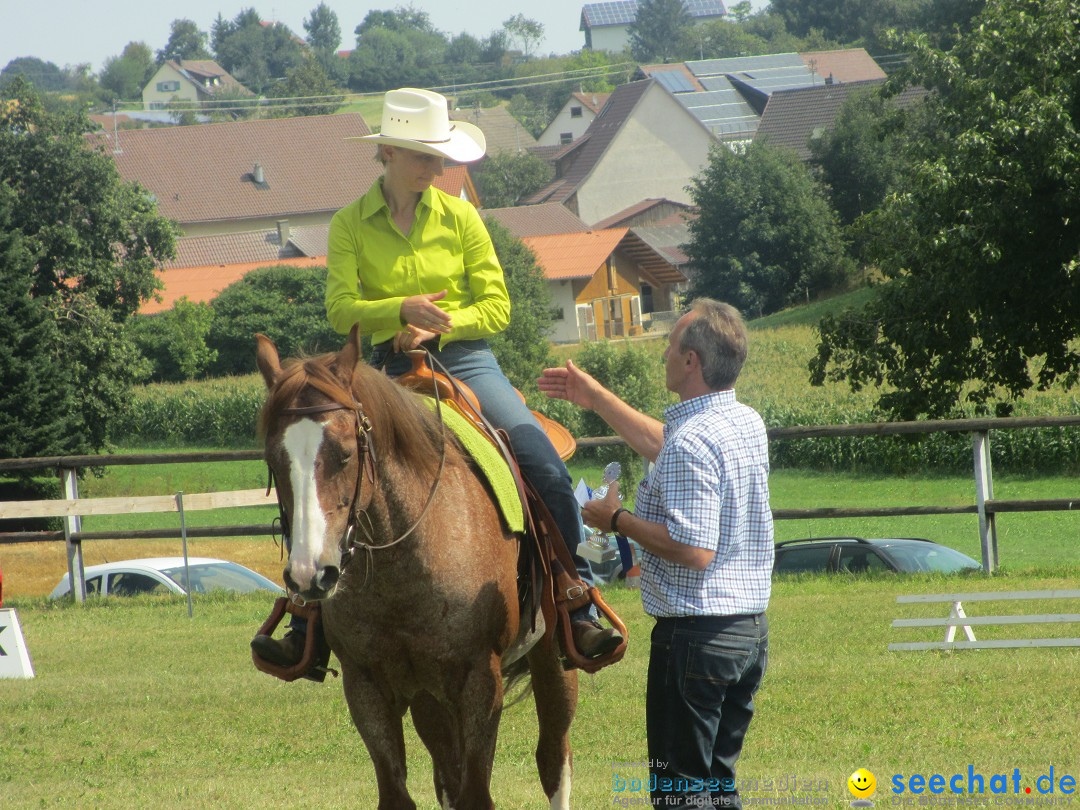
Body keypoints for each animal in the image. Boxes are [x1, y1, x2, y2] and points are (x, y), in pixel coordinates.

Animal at [255, 328, 578, 810]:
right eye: (275, 460)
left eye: (345, 454)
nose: (310, 574)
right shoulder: (366, 686)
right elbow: (400, 793)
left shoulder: (480, 680)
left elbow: (477, 793)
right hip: (430, 700)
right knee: (447, 775)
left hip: (552, 659)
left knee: (553, 759)